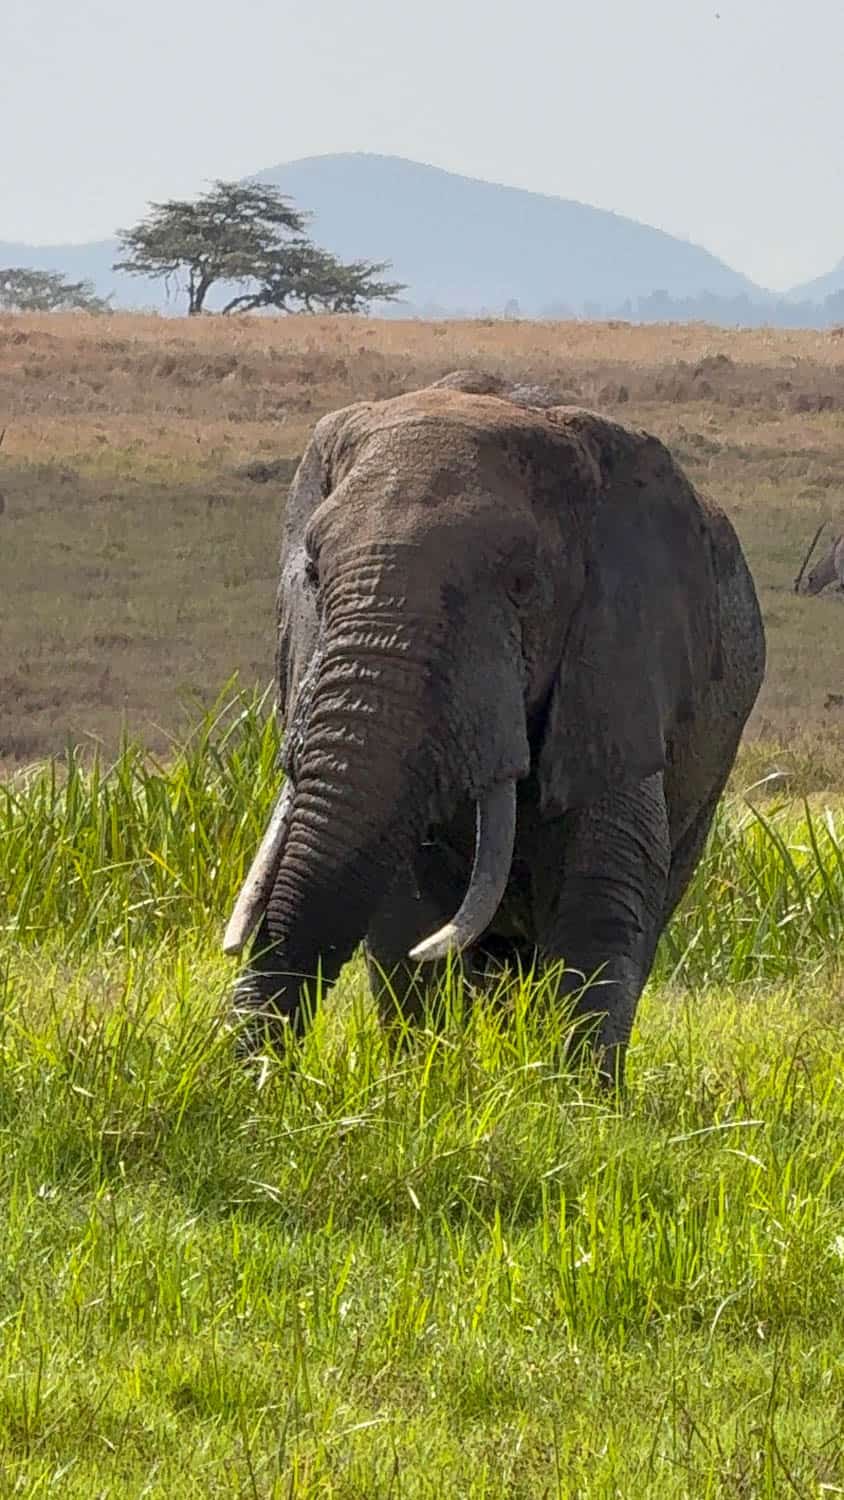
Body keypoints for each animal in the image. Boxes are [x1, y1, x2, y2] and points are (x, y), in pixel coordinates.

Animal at [222, 371, 766, 1083]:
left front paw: (576, 1099)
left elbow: (604, 892)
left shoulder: (616, 668)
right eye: (313, 573)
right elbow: (404, 916)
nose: (251, 1080)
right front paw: (425, 1080)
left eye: (524, 586)